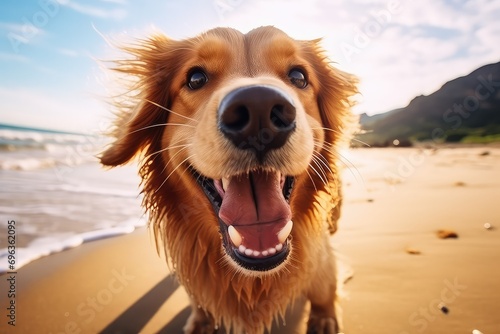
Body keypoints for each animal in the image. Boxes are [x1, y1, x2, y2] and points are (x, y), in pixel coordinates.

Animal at [100, 26, 356, 334]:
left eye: (299, 76)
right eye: (195, 78)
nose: (260, 109)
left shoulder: (321, 260)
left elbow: (325, 289)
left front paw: (324, 318)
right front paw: (201, 320)